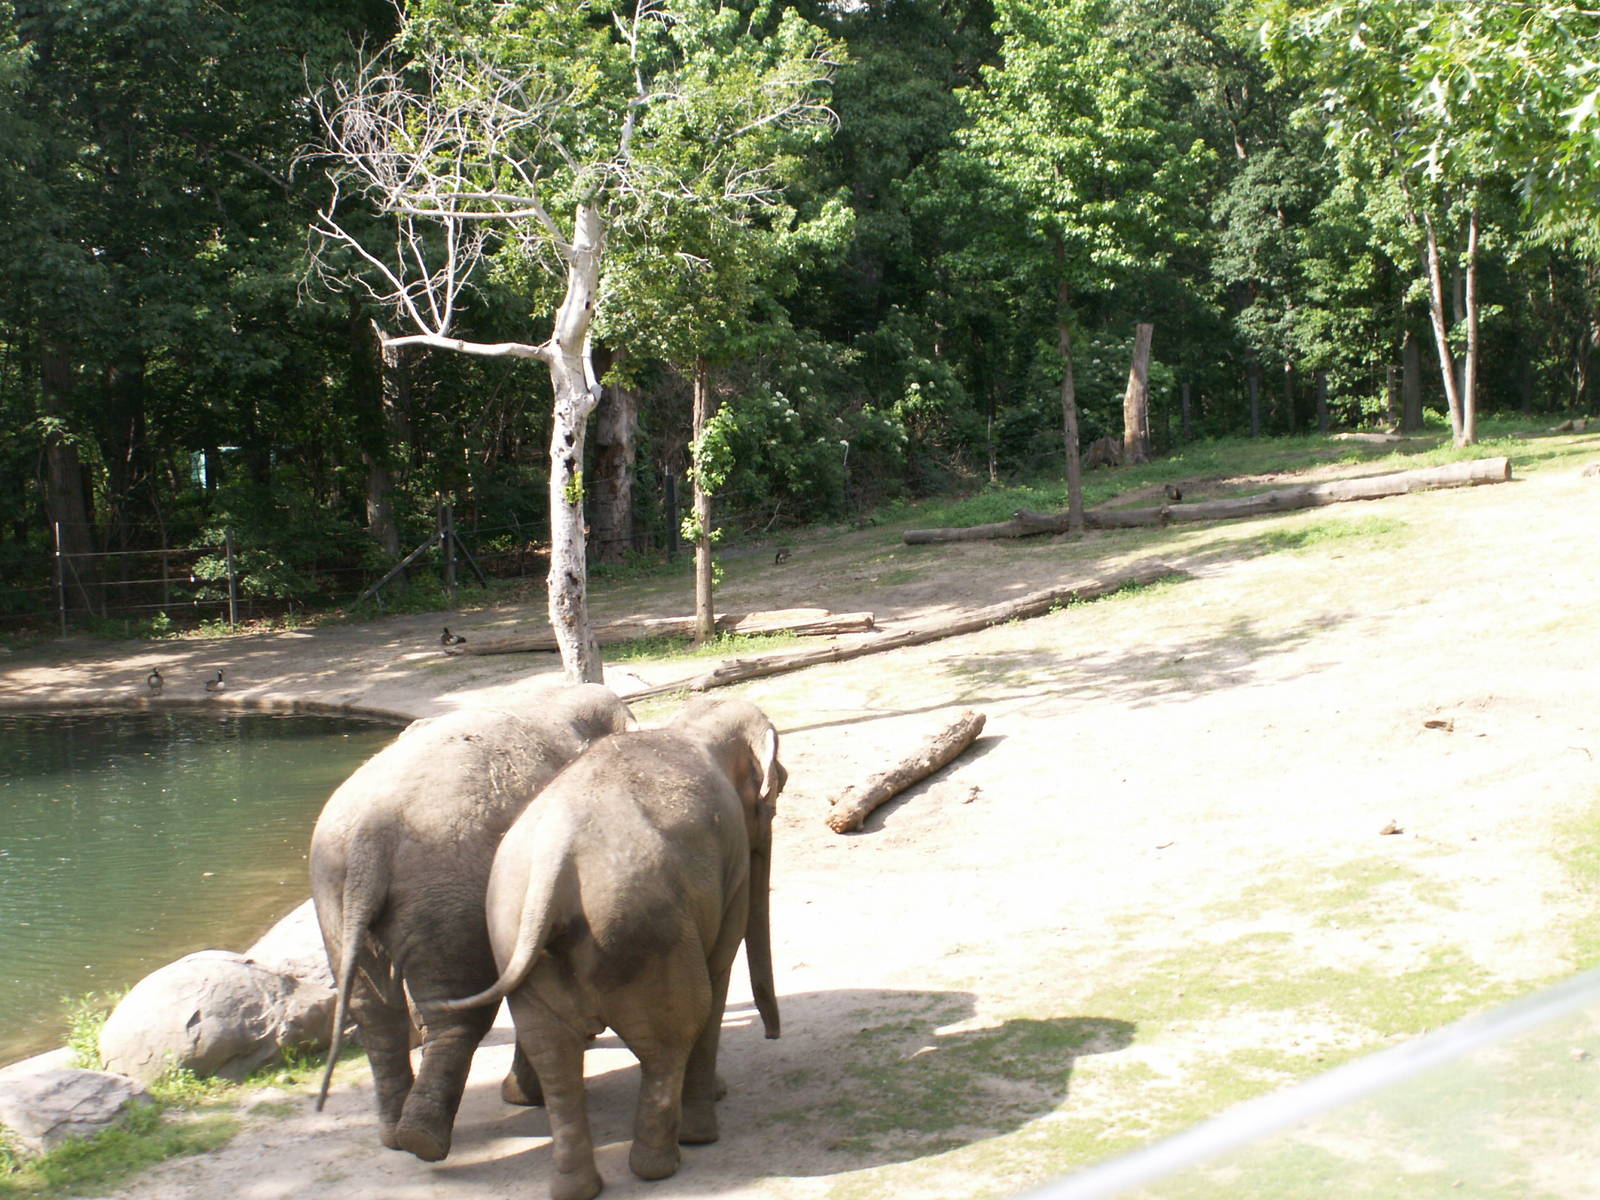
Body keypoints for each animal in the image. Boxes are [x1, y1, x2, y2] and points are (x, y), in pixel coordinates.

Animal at [309, 683, 635, 1163]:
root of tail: (371, 835)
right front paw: (526, 1096)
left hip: (337, 895)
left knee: (374, 1010)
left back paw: (395, 1135)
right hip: (444, 896)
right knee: (456, 1013)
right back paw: (423, 1139)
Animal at [434, 696, 785, 1200]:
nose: (773, 1034)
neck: (691, 724)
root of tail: (554, 863)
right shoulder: (733, 857)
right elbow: (719, 972)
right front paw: (708, 1115)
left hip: (516, 937)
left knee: (555, 1058)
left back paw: (576, 1187)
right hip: (648, 933)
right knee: (673, 1033)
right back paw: (667, 1160)